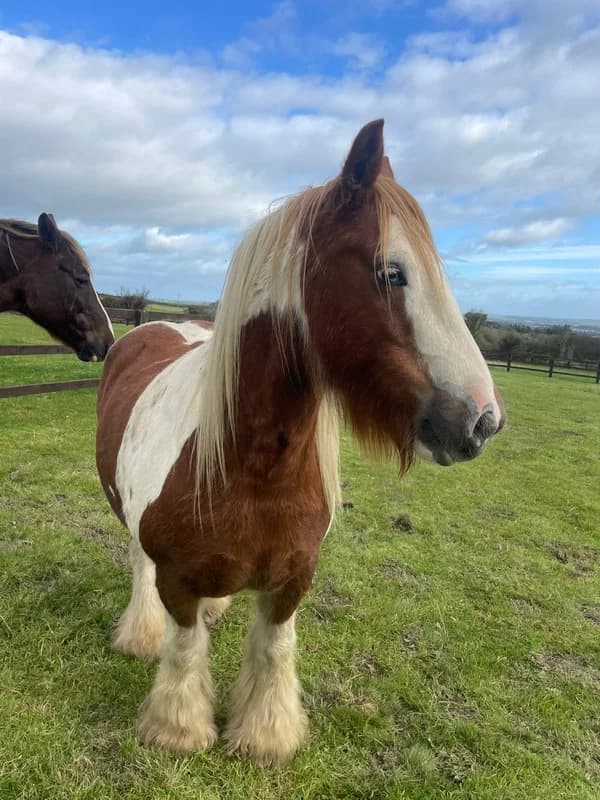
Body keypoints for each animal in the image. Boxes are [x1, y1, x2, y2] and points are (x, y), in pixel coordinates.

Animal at [96, 119, 505, 766]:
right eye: (391, 273)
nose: (483, 421)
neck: (254, 466)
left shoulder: (293, 577)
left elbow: (273, 651)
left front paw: (266, 737)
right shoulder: (177, 579)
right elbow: (184, 650)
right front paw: (178, 731)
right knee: (139, 568)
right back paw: (140, 634)